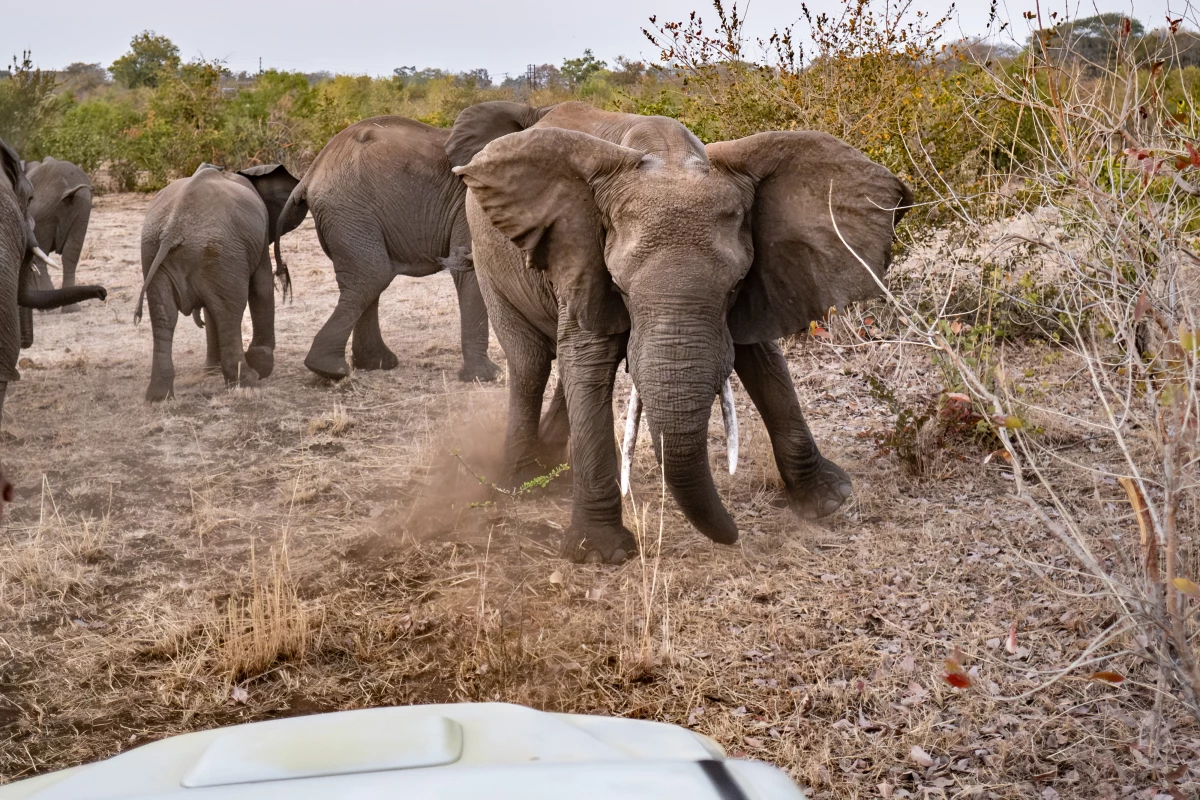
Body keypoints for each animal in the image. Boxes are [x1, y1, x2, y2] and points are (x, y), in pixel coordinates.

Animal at [24, 156, 93, 311]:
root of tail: (68, 189)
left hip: (43, 213)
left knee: (41, 257)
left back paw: (47, 309)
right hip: (83, 206)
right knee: (71, 254)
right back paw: (71, 309)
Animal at [136, 163, 301, 401]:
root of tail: (172, 230)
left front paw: (212, 370)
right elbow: (262, 286)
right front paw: (262, 367)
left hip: (156, 252)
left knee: (164, 316)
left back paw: (159, 397)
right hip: (220, 252)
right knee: (230, 312)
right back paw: (247, 380)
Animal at [275, 104, 549, 382]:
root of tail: (309, 174)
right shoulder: (471, 201)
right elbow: (471, 272)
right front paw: (486, 377)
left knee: (369, 279)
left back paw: (375, 364)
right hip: (348, 209)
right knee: (370, 277)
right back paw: (331, 369)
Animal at [453, 102, 911, 564]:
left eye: (735, 287)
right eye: (619, 286)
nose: (736, 535)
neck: (669, 155)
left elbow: (764, 361)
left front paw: (829, 499)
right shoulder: (582, 261)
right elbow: (587, 361)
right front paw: (600, 554)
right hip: (488, 260)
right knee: (530, 364)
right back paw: (519, 482)